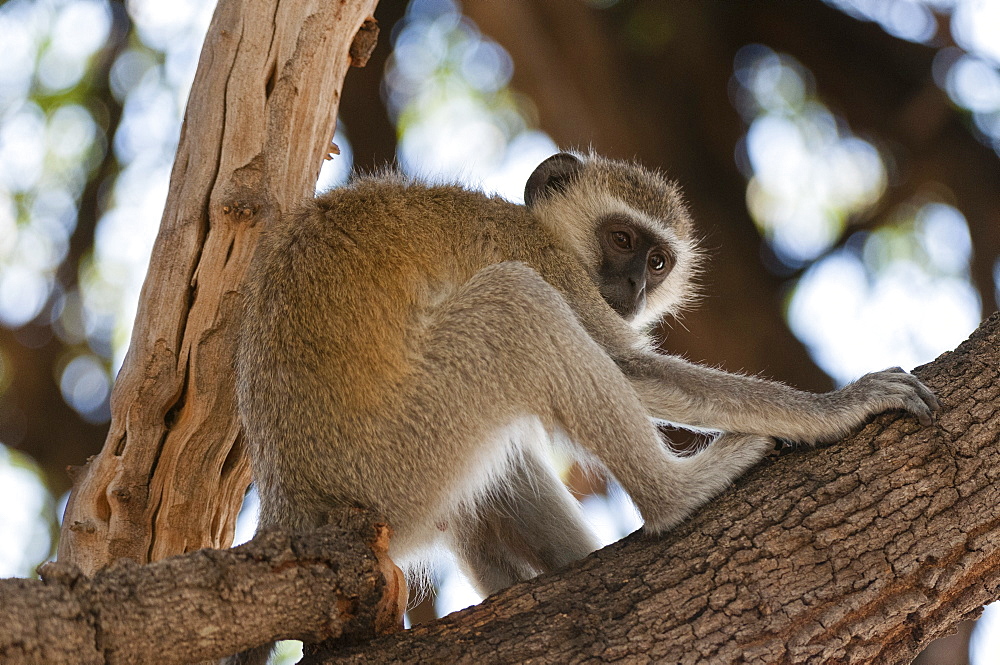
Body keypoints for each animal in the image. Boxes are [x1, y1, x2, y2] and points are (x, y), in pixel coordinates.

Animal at [232, 153, 936, 660]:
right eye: (620, 238)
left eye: (658, 260)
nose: (633, 285)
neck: (544, 229)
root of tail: (292, 506)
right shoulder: (546, 260)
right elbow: (625, 365)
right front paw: (836, 406)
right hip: (394, 460)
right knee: (517, 307)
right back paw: (676, 494)